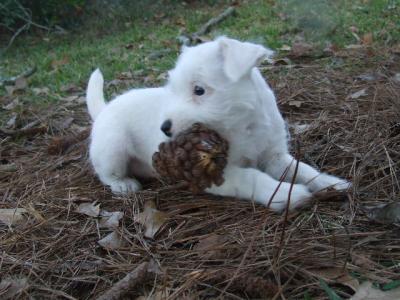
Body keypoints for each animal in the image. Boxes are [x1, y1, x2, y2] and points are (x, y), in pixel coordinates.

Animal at [85, 36, 350, 212]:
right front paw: (286, 193)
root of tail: (104, 109)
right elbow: (252, 177)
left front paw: (330, 183)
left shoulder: (275, 156)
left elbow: (302, 169)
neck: (243, 126)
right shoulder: (216, 173)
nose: (164, 128)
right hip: (112, 149)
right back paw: (124, 184)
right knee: (107, 174)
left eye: (199, 90)